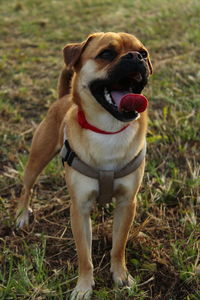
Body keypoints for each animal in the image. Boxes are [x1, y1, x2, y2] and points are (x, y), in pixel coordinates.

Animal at [16, 31, 153, 298]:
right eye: (106, 54)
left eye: (144, 53)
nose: (136, 57)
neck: (108, 130)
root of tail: (63, 98)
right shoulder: (79, 209)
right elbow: (84, 255)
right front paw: (83, 286)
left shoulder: (127, 203)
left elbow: (118, 246)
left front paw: (120, 275)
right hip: (37, 159)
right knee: (27, 187)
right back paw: (21, 215)